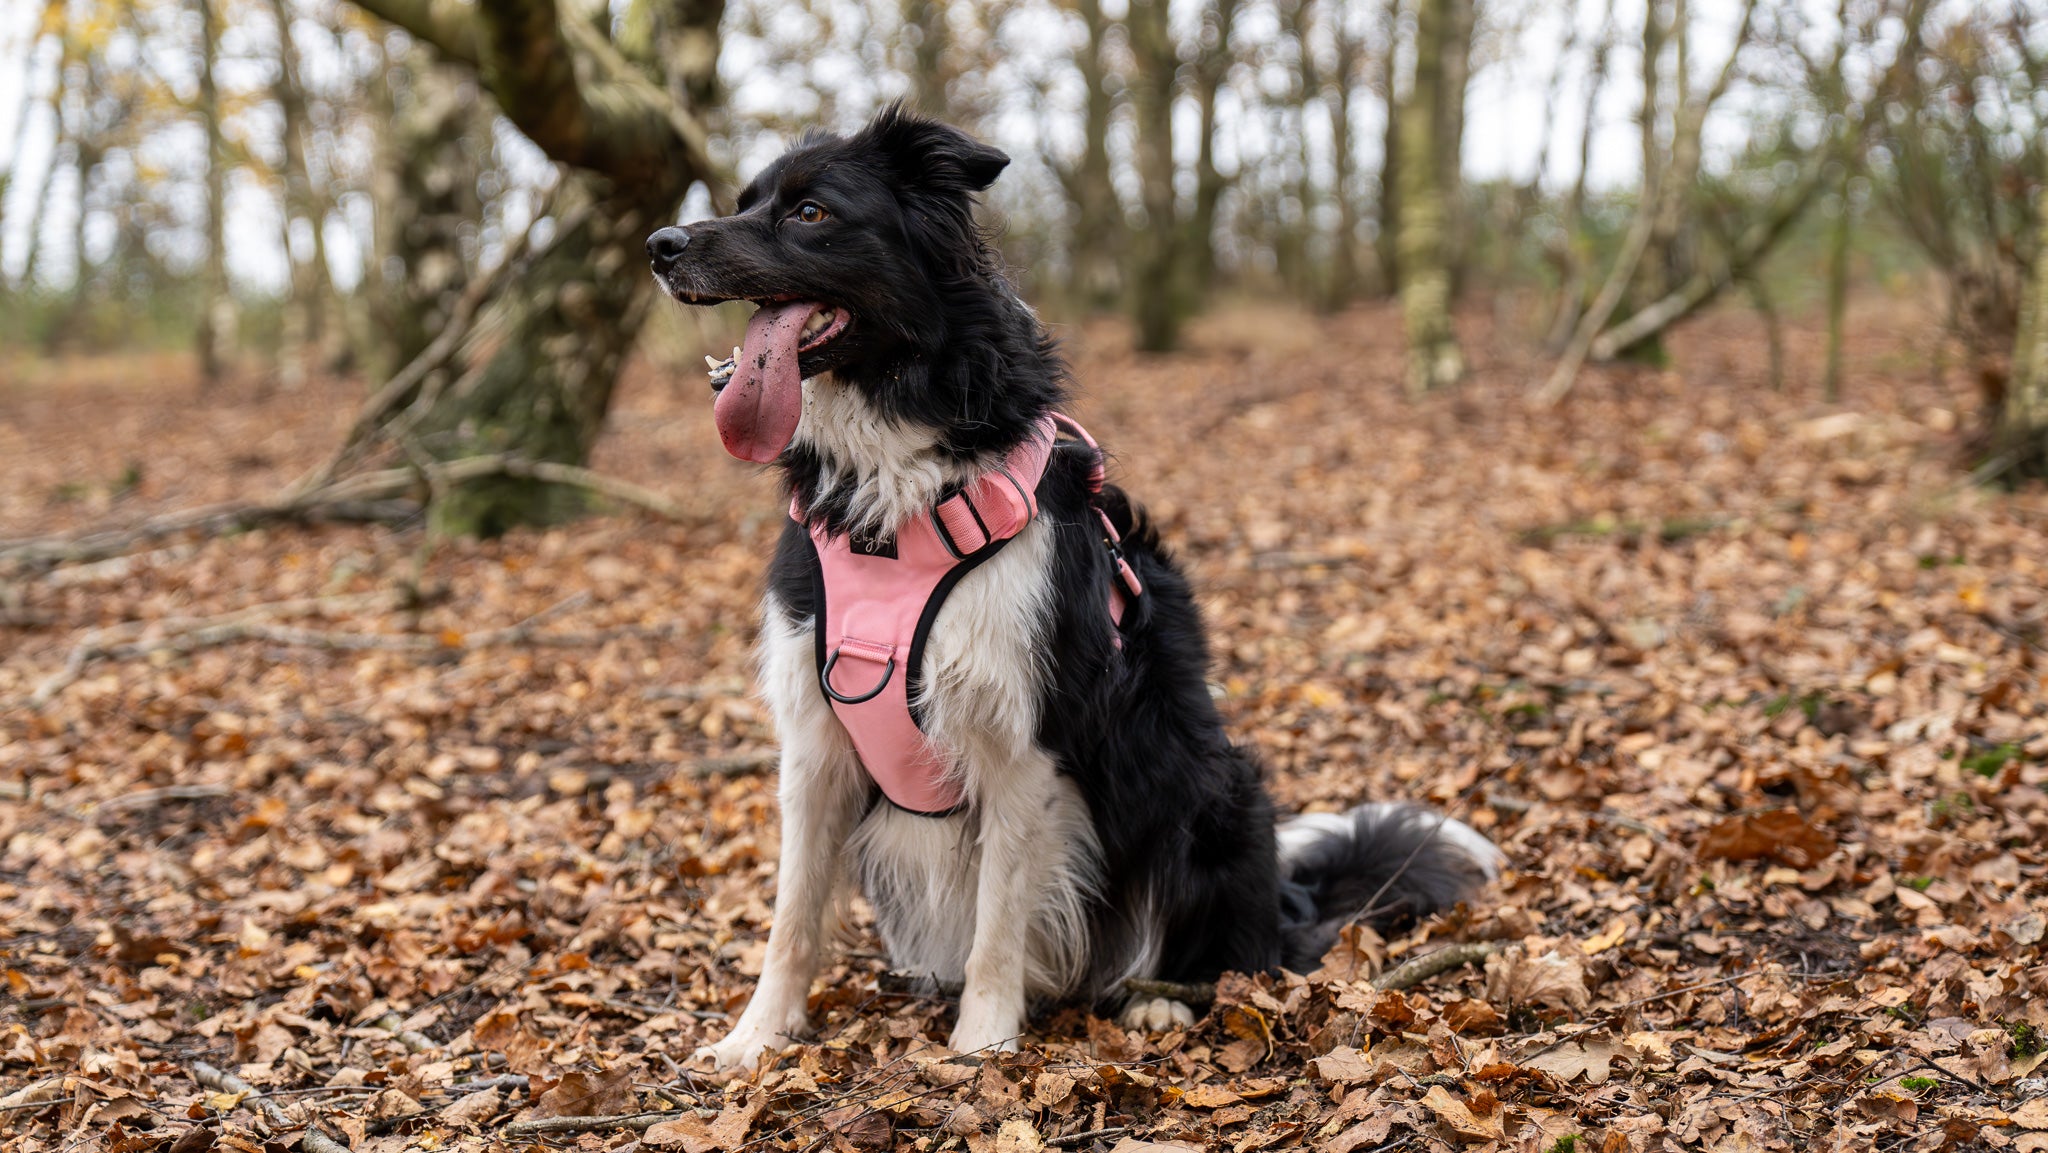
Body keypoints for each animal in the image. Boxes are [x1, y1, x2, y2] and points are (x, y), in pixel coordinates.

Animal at [647, 108, 1499, 1073]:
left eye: (811, 213)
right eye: (744, 200)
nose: (661, 245)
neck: (892, 488)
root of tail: (1292, 902)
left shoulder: (1022, 741)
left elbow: (998, 920)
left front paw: (981, 1045)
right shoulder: (814, 738)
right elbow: (791, 914)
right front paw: (754, 1038)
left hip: (1214, 790)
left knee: (1242, 957)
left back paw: (1159, 999)